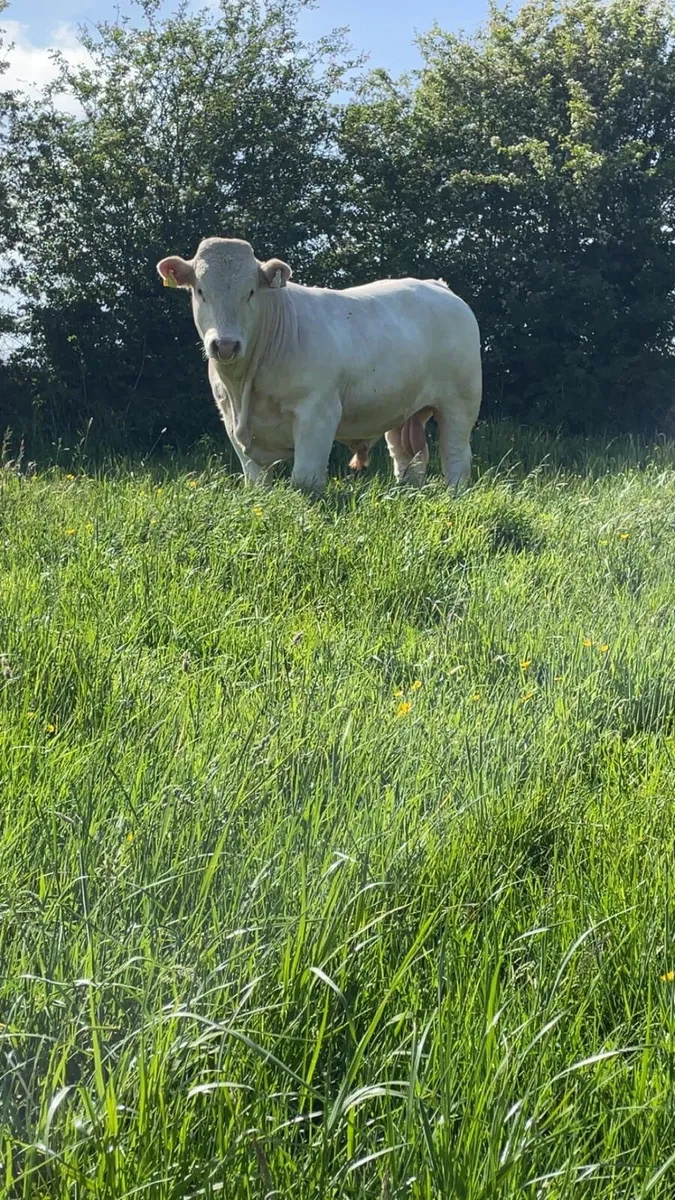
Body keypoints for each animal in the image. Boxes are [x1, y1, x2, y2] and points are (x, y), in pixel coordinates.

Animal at [157, 238, 481, 493]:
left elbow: (304, 479)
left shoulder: (318, 413)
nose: (225, 345)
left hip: (460, 403)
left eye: (250, 292)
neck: (244, 389)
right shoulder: (229, 417)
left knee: (455, 458)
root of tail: (437, 286)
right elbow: (257, 481)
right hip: (402, 410)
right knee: (407, 459)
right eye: (200, 291)